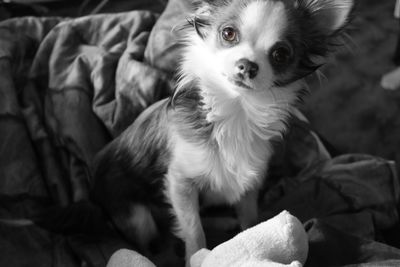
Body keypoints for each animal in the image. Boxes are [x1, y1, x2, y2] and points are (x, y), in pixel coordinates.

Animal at [3, 0, 354, 264]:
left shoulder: (249, 182)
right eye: (228, 34)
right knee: (149, 238)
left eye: (281, 54)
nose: (247, 66)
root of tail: (91, 195)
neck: (235, 112)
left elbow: (249, 219)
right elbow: (193, 230)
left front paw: (249, 233)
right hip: (136, 215)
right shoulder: (180, 183)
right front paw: (197, 255)